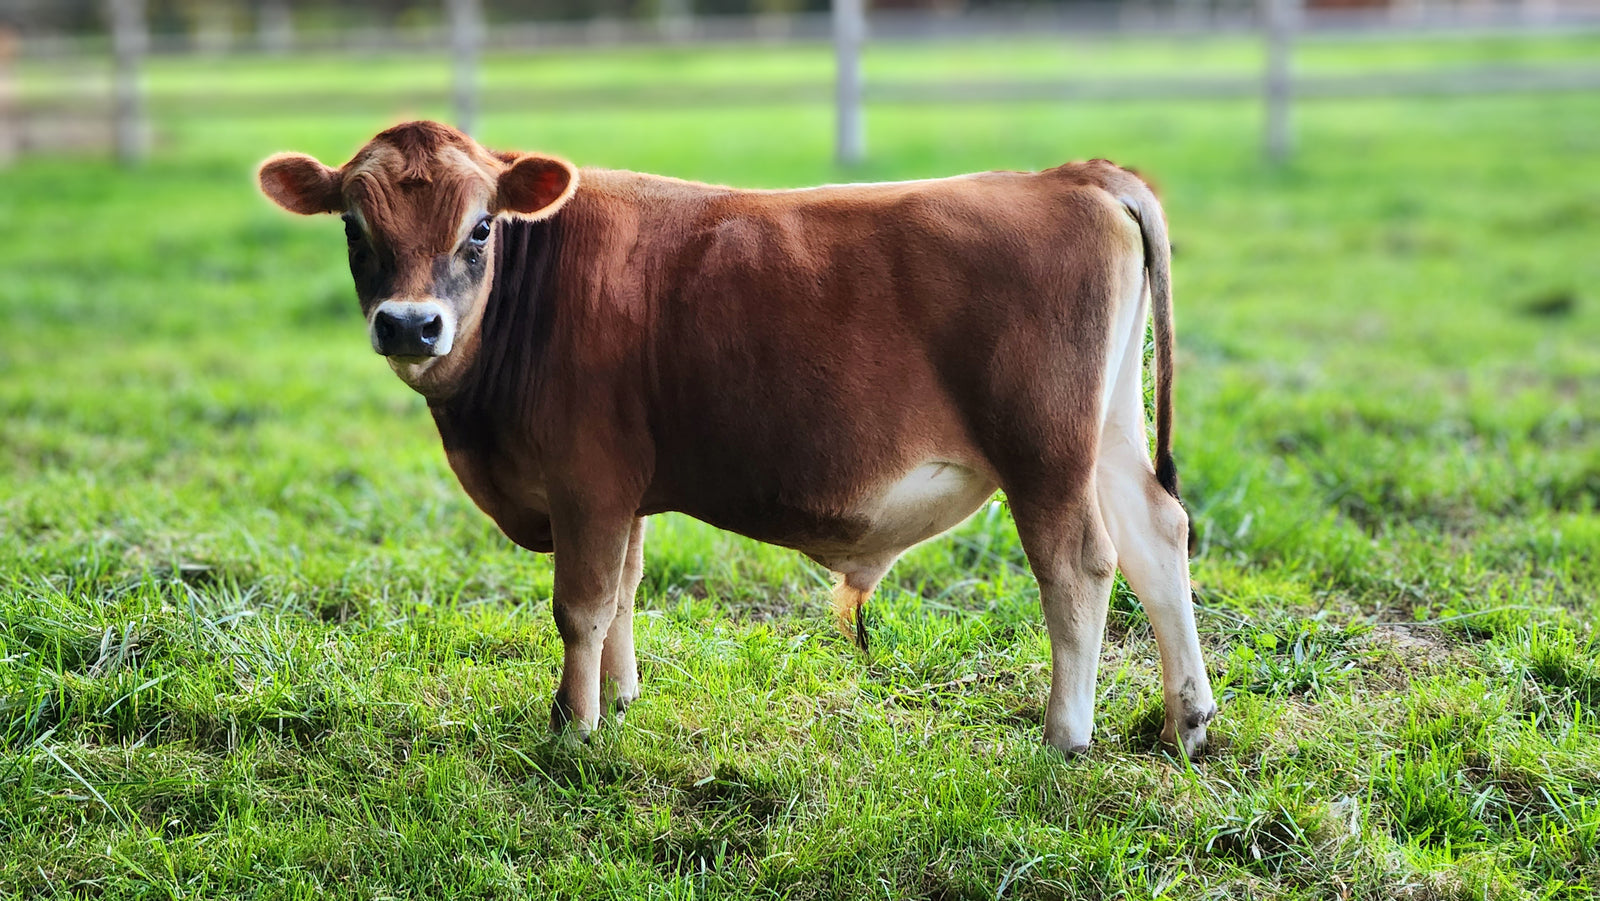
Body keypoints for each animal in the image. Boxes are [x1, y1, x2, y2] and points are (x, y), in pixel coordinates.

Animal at [257, 120, 1217, 756]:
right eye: (354, 227)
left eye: (482, 226)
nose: (410, 324)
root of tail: (1071, 174)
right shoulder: (625, 490)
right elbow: (625, 591)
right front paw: (622, 697)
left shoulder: (586, 481)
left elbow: (582, 604)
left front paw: (573, 724)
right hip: (1108, 433)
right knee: (1157, 535)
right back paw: (1188, 719)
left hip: (1045, 453)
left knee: (1080, 566)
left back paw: (1066, 733)